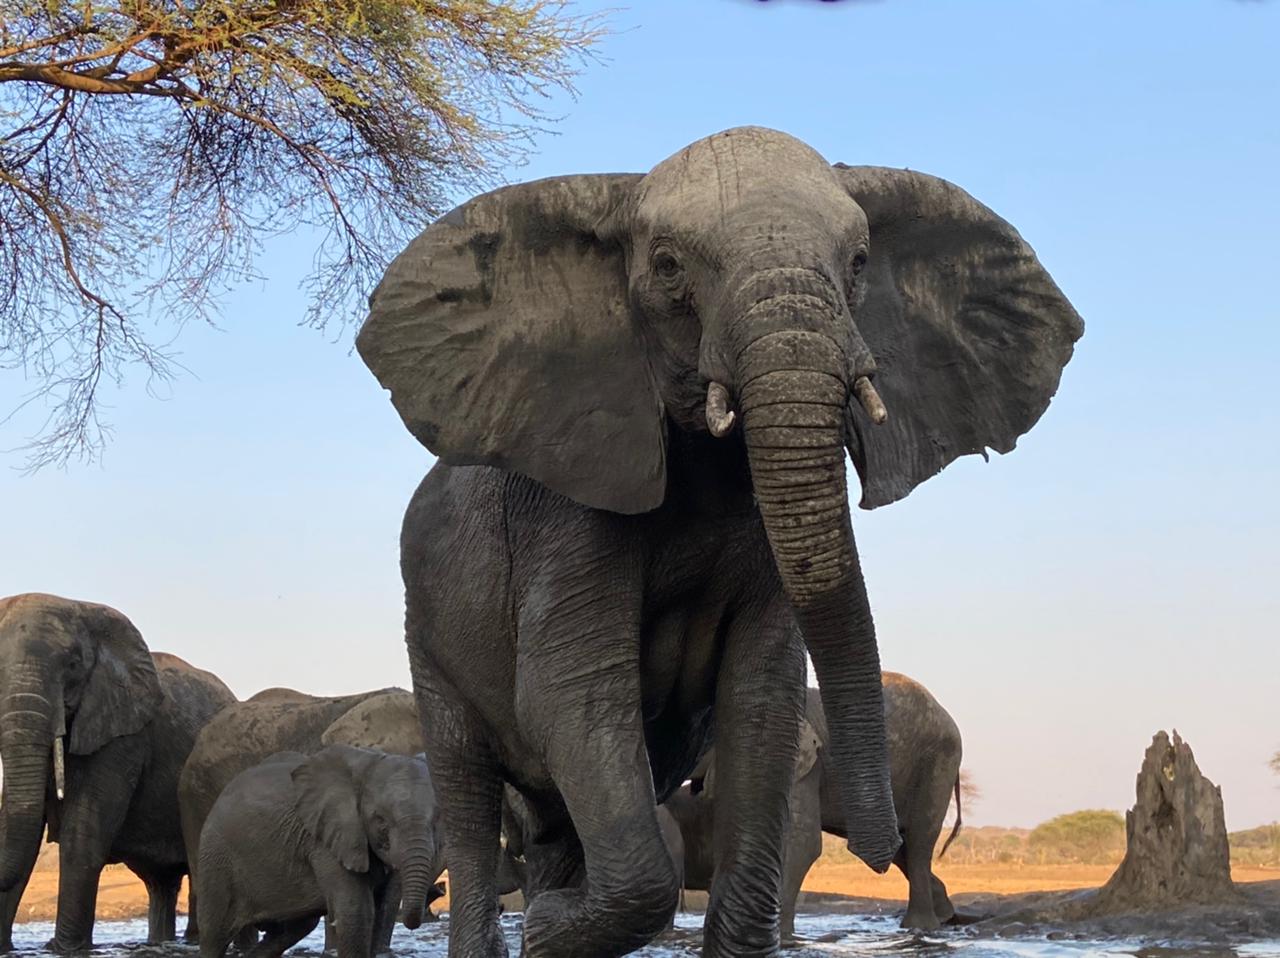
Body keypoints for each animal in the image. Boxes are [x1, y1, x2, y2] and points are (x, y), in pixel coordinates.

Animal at [195, 746, 440, 958]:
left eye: (436, 819)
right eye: (380, 820)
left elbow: (380, 911)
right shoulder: (324, 842)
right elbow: (356, 913)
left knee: (291, 930)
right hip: (215, 858)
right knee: (214, 935)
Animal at [664, 675, 963, 937]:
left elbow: (801, 841)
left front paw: (777, 937)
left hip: (938, 762)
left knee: (919, 840)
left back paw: (920, 927)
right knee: (901, 846)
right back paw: (944, 914)